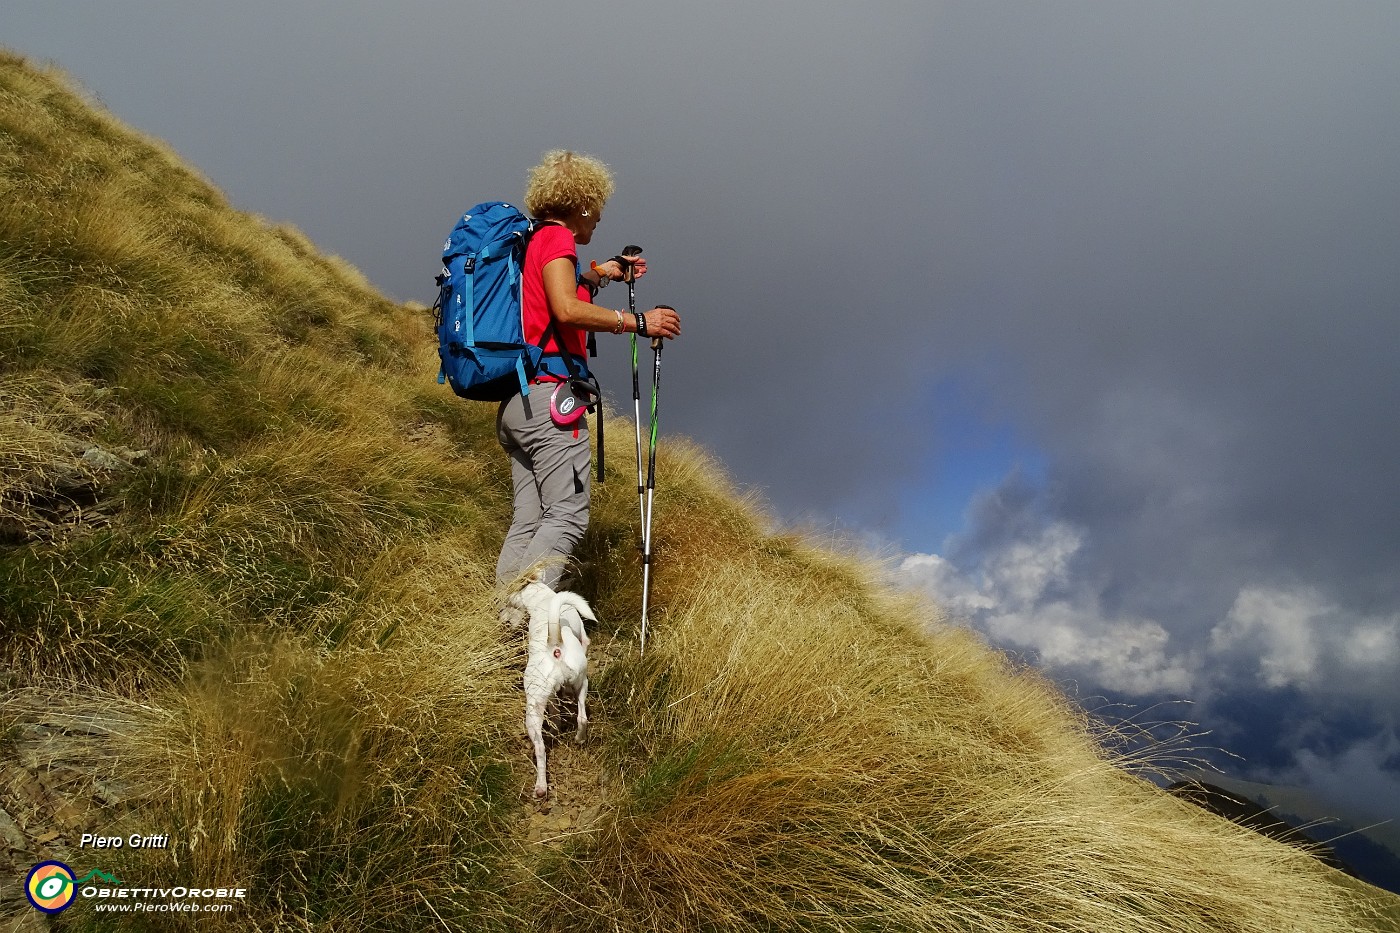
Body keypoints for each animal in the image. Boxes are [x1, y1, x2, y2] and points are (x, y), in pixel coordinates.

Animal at [506, 577, 593, 795]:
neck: (541, 599)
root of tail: (555, 647)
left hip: (535, 708)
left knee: (541, 749)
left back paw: (541, 787)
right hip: (581, 684)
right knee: (581, 718)